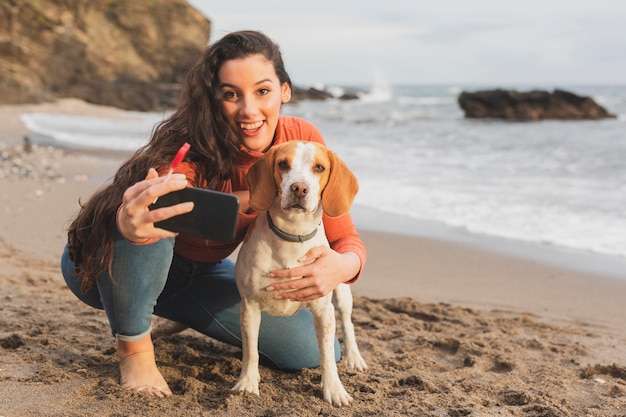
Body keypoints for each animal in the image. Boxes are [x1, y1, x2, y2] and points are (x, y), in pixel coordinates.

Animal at [233, 141, 366, 406]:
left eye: (319, 167)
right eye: (283, 164)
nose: (299, 188)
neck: (292, 234)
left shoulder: (324, 311)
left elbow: (327, 354)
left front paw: (334, 389)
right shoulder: (250, 306)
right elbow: (251, 351)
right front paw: (248, 383)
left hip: (342, 293)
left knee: (347, 322)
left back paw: (354, 357)